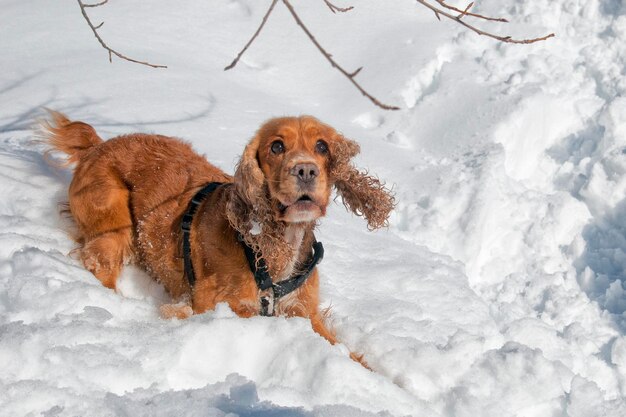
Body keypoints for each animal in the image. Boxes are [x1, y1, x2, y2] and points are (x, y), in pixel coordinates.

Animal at [40, 111, 390, 364]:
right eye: (277, 146)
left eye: (322, 146)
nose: (305, 170)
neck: (271, 245)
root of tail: (97, 145)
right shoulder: (213, 303)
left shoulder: (304, 310)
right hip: (113, 223)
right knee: (99, 265)